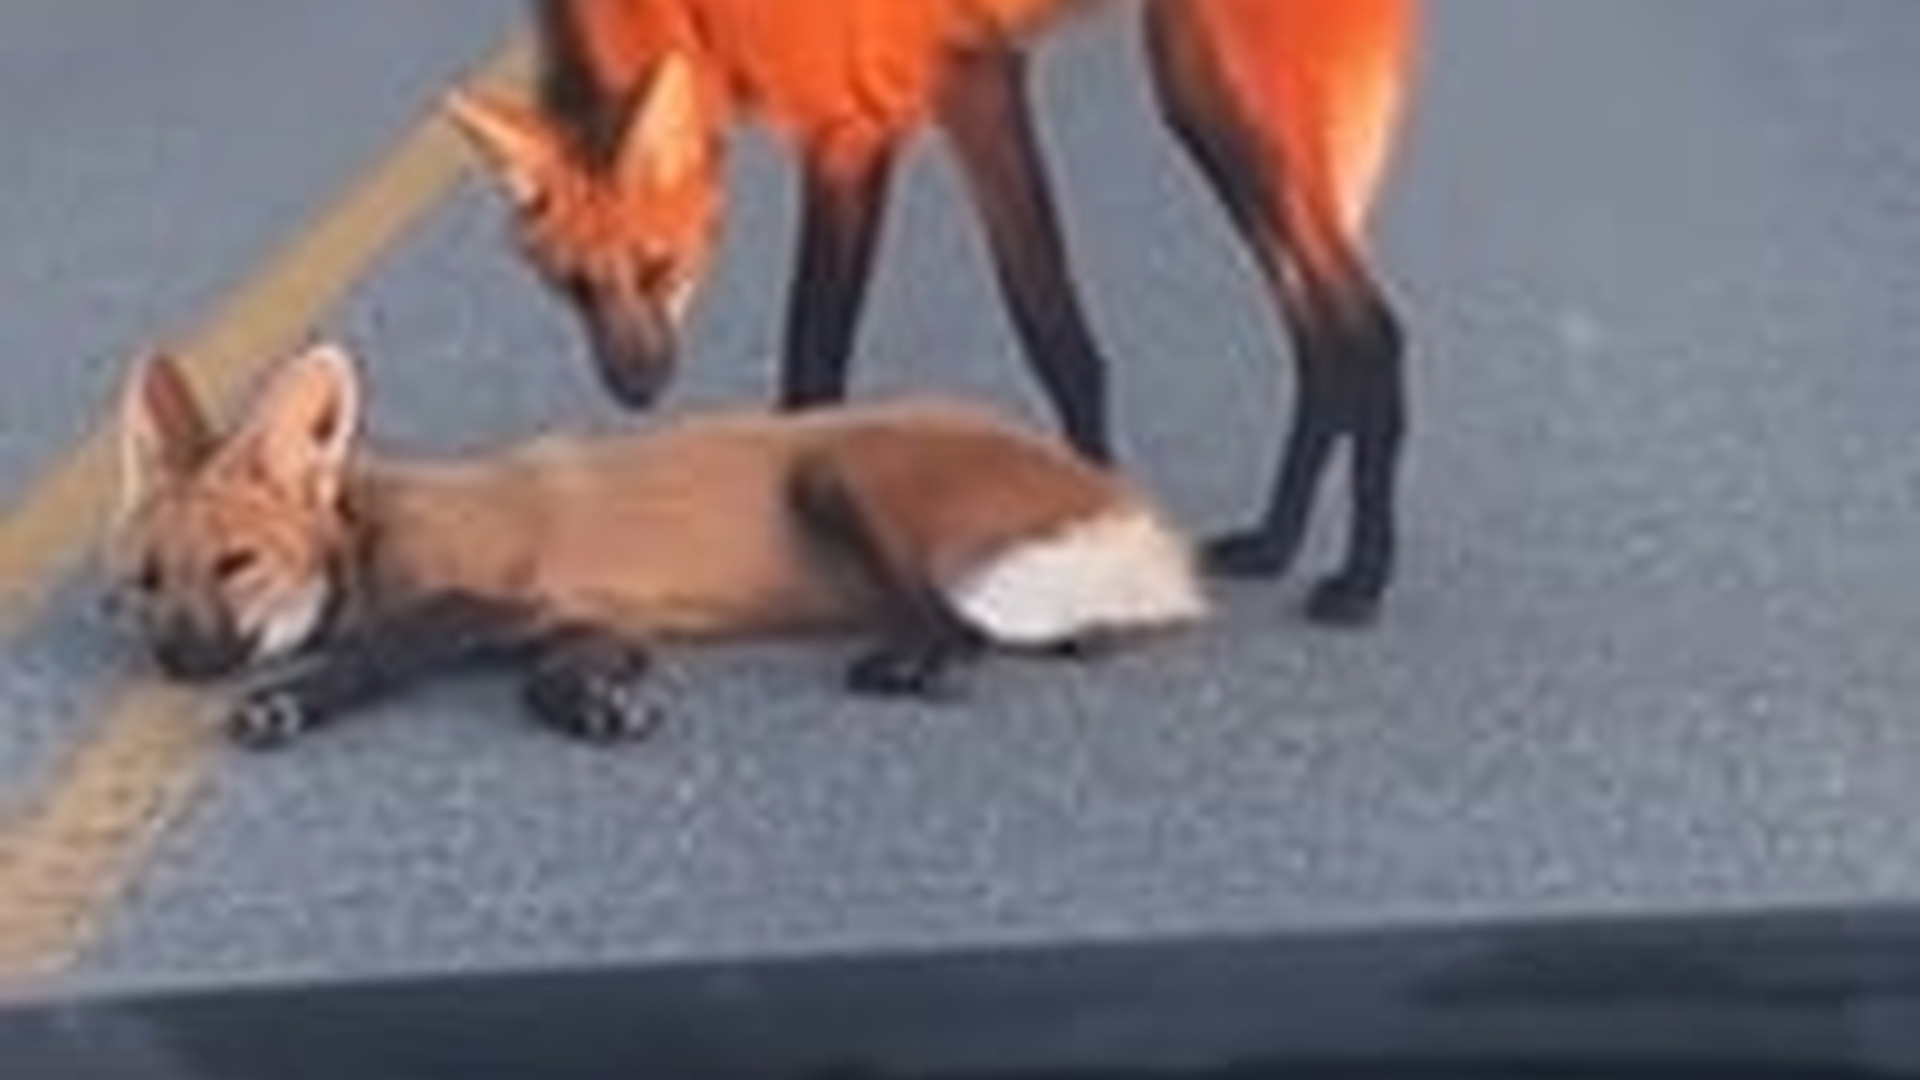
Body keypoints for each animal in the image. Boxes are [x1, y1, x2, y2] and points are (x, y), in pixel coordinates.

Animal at [106, 342, 1207, 748]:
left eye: (236, 565)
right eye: (148, 582)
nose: (177, 661)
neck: (376, 539)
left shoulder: (500, 591)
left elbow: (386, 650)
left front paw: (288, 700)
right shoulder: (581, 619)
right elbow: (548, 680)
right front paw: (602, 708)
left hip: (836, 468)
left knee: (959, 618)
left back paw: (918, 660)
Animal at [444, 0, 1418, 626]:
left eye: (660, 269)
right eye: (575, 288)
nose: (638, 390)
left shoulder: (875, 123)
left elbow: (825, 362)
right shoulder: (959, 90)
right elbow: (1058, 335)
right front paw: (1090, 516)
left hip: (1220, 103)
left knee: (1369, 333)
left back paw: (1363, 581)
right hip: (1210, 106)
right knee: (1317, 338)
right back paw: (1276, 542)